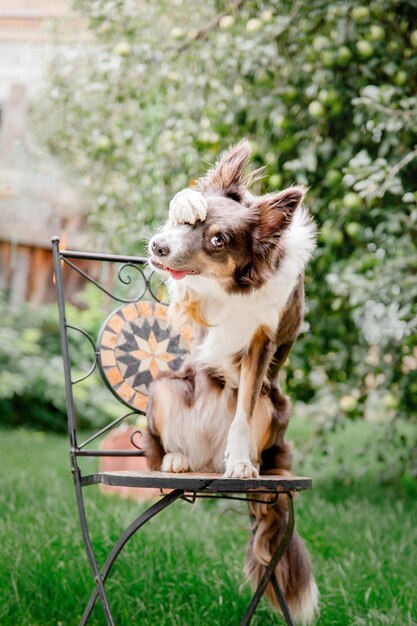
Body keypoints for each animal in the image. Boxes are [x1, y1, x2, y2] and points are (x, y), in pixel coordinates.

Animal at [145, 139, 316, 620]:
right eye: (187, 226)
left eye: (217, 239)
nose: (158, 246)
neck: (233, 287)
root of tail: (206, 460)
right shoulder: (189, 300)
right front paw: (187, 198)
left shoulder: (261, 343)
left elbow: (241, 415)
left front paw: (240, 461)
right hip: (164, 386)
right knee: (161, 448)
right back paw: (176, 459)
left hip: (273, 405)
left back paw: (243, 462)